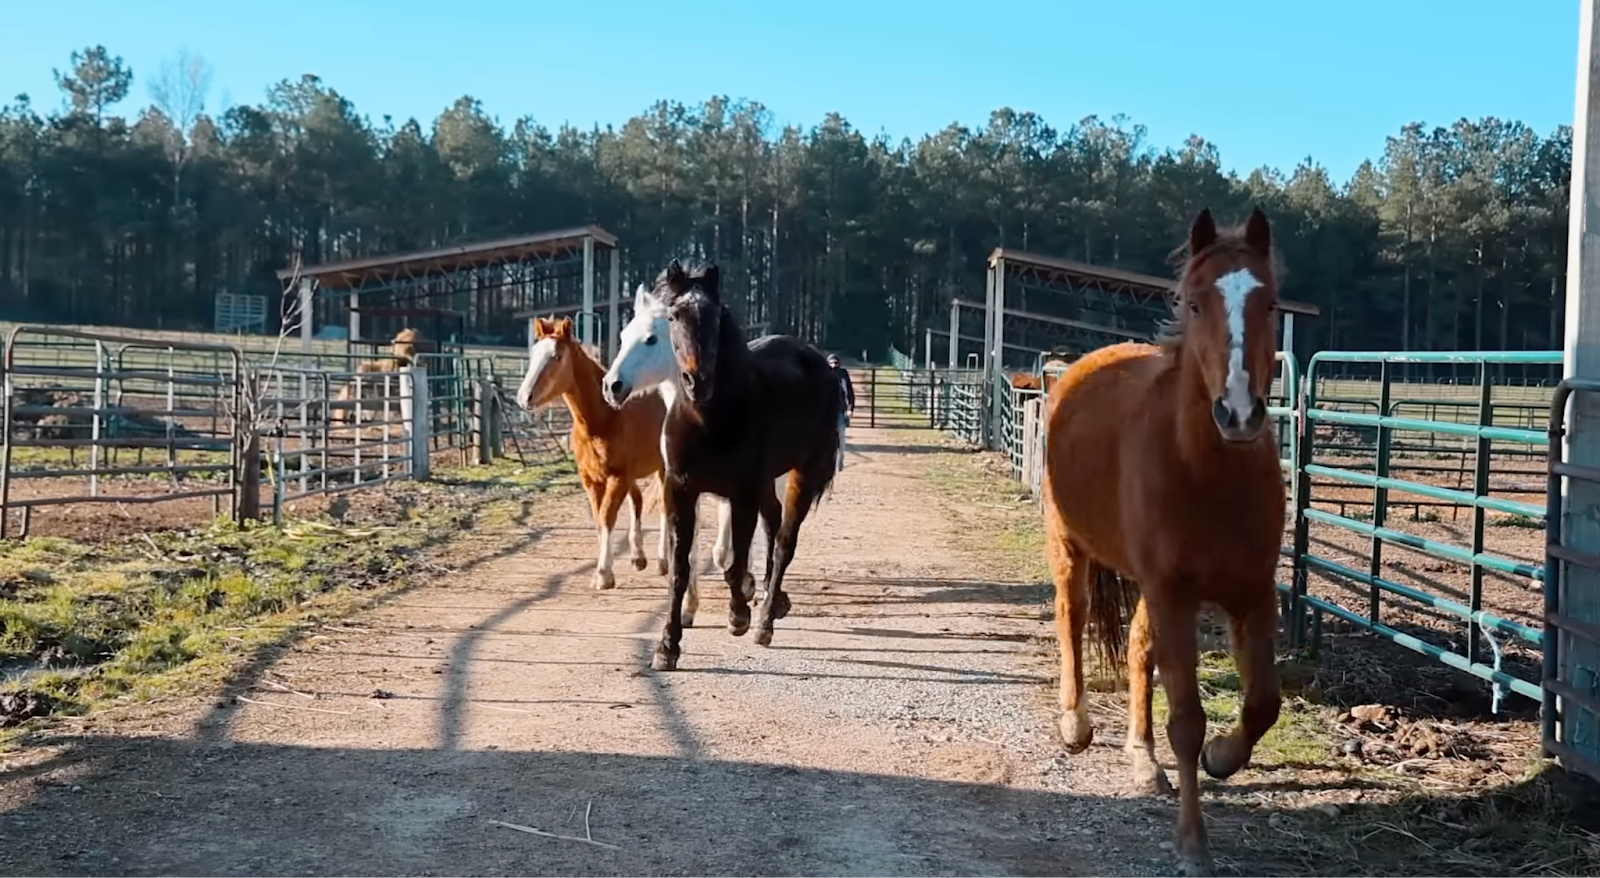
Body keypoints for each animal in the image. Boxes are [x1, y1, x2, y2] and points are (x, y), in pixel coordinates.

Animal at [515, 316, 733, 608]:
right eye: (534, 354)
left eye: (556, 356)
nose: (524, 397)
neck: (602, 420)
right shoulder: (592, 480)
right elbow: (600, 519)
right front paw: (611, 567)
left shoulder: (618, 476)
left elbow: (608, 517)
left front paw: (603, 575)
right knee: (639, 501)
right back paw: (639, 557)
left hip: (663, 471)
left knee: (663, 510)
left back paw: (662, 560)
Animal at [602, 261, 840, 671]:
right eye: (673, 316)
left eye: (714, 317)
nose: (612, 385)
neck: (708, 419)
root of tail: (819, 362)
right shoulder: (681, 489)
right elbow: (682, 568)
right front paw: (668, 645)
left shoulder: (740, 493)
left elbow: (733, 560)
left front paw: (738, 616)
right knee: (773, 522)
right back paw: (773, 600)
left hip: (800, 475)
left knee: (783, 542)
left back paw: (764, 621)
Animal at [1043, 207, 1286, 877]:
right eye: (1195, 303)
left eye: (1271, 303)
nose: (1238, 413)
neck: (1206, 472)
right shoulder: (1174, 592)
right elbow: (1188, 720)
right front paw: (1193, 843)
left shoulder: (1252, 592)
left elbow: (1263, 704)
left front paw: (1223, 758)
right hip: (1070, 547)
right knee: (1071, 618)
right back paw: (1076, 724)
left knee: (1134, 647)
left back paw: (1142, 759)